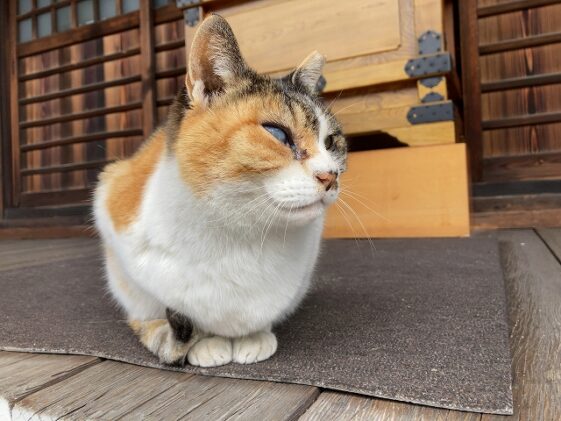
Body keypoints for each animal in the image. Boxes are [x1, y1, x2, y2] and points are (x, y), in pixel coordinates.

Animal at [92, 14, 346, 366]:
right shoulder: (111, 210)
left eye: (331, 142)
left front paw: (253, 336)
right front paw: (207, 343)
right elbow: (159, 311)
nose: (330, 176)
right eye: (277, 134)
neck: (242, 237)